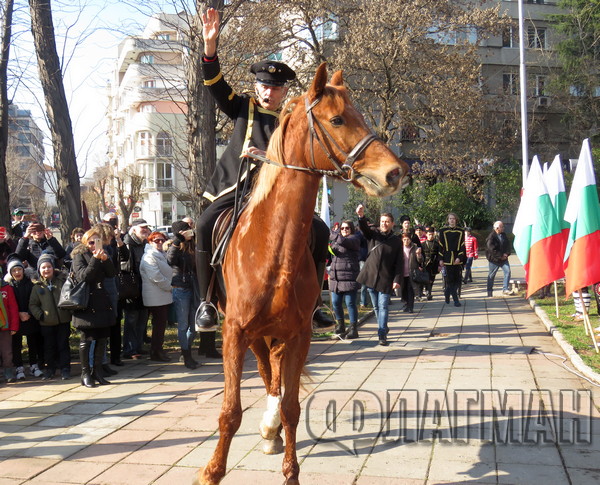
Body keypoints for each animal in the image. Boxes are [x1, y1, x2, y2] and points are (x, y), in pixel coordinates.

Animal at [195, 62, 410, 482]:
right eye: (338, 119)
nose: (395, 173)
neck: (274, 249)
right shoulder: (235, 332)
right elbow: (230, 412)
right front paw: (212, 471)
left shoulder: (298, 334)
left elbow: (292, 406)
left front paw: (290, 468)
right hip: (252, 333)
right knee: (266, 372)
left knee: (275, 377)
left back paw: (270, 428)